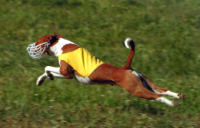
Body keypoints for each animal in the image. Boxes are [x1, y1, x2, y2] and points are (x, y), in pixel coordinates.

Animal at [27, 24, 186, 107]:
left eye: (37, 41)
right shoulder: (68, 75)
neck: (61, 46)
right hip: (146, 83)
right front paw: (42, 80)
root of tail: (126, 68)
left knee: (158, 96)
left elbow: (47, 68)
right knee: (164, 90)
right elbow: (46, 72)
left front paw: (47, 75)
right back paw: (179, 96)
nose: (30, 47)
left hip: (136, 89)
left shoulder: (65, 72)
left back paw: (172, 104)